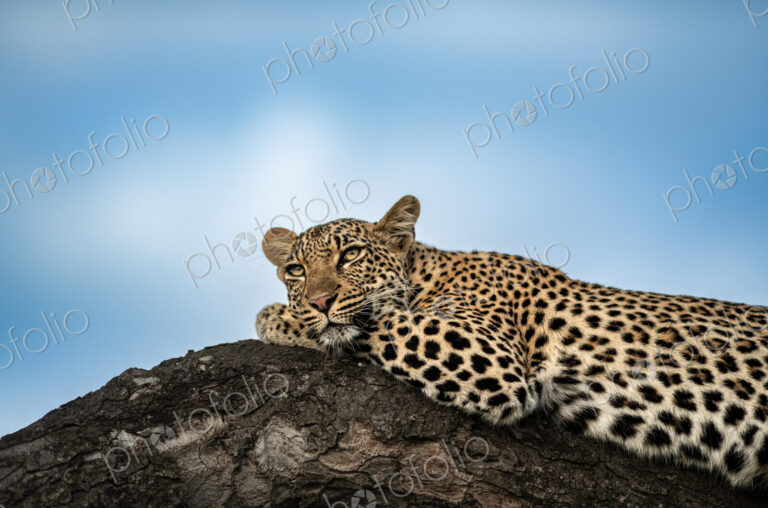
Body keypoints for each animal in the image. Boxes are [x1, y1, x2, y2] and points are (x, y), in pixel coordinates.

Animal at [256, 195, 768, 488]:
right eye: (296, 269)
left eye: (351, 255)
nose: (318, 300)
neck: (427, 273)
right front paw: (293, 315)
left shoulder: (487, 354)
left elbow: (377, 321)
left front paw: (280, 318)